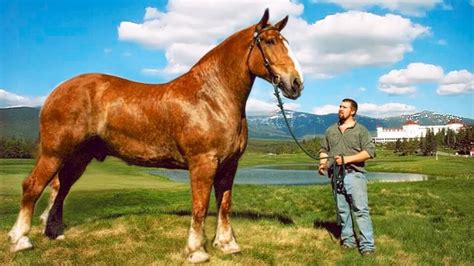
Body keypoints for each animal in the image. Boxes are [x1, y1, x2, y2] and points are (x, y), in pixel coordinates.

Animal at [9, 8, 304, 264]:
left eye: (286, 42)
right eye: (269, 41)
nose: (296, 83)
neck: (211, 97)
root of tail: (56, 92)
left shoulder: (229, 166)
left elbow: (224, 205)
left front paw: (227, 245)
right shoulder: (203, 164)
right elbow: (200, 206)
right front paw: (196, 251)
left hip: (78, 158)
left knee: (61, 188)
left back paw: (54, 232)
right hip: (54, 153)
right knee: (33, 186)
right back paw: (20, 240)